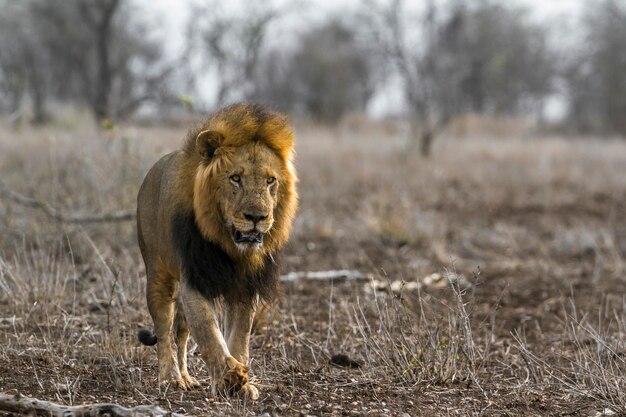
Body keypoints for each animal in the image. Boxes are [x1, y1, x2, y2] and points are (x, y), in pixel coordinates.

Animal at [135, 102, 296, 398]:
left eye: (270, 181)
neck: (230, 247)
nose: (256, 217)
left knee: (181, 335)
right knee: (164, 331)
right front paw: (228, 378)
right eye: (235, 178)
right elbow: (209, 332)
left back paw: (187, 377)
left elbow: (240, 334)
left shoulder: (246, 286)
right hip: (158, 275)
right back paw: (170, 378)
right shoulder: (194, 279)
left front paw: (243, 383)